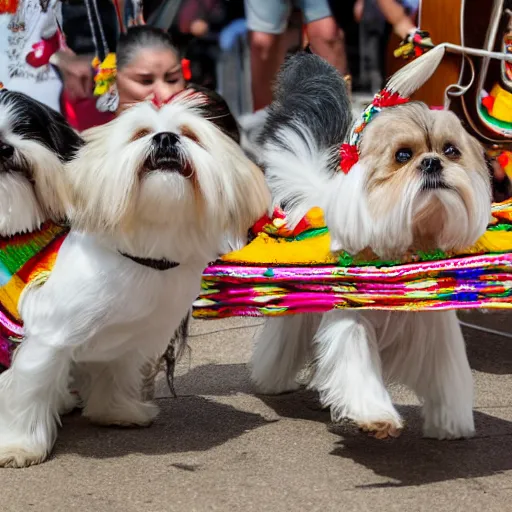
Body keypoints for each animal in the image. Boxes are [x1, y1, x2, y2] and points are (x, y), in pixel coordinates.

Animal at [0, 86, 270, 466]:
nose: (166, 138)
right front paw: (19, 445)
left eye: (189, 133)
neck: (143, 255)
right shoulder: (49, 336)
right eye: (140, 133)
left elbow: (116, 373)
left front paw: (117, 411)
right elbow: (29, 390)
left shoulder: (132, 336)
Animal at [251, 54, 492, 442]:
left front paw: (450, 423)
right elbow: (356, 365)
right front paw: (376, 416)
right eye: (402, 155)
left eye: (450, 150)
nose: (432, 162)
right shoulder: (351, 320)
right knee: (284, 341)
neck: (407, 243)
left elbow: (447, 373)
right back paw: (272, 380)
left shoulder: (433, 328)